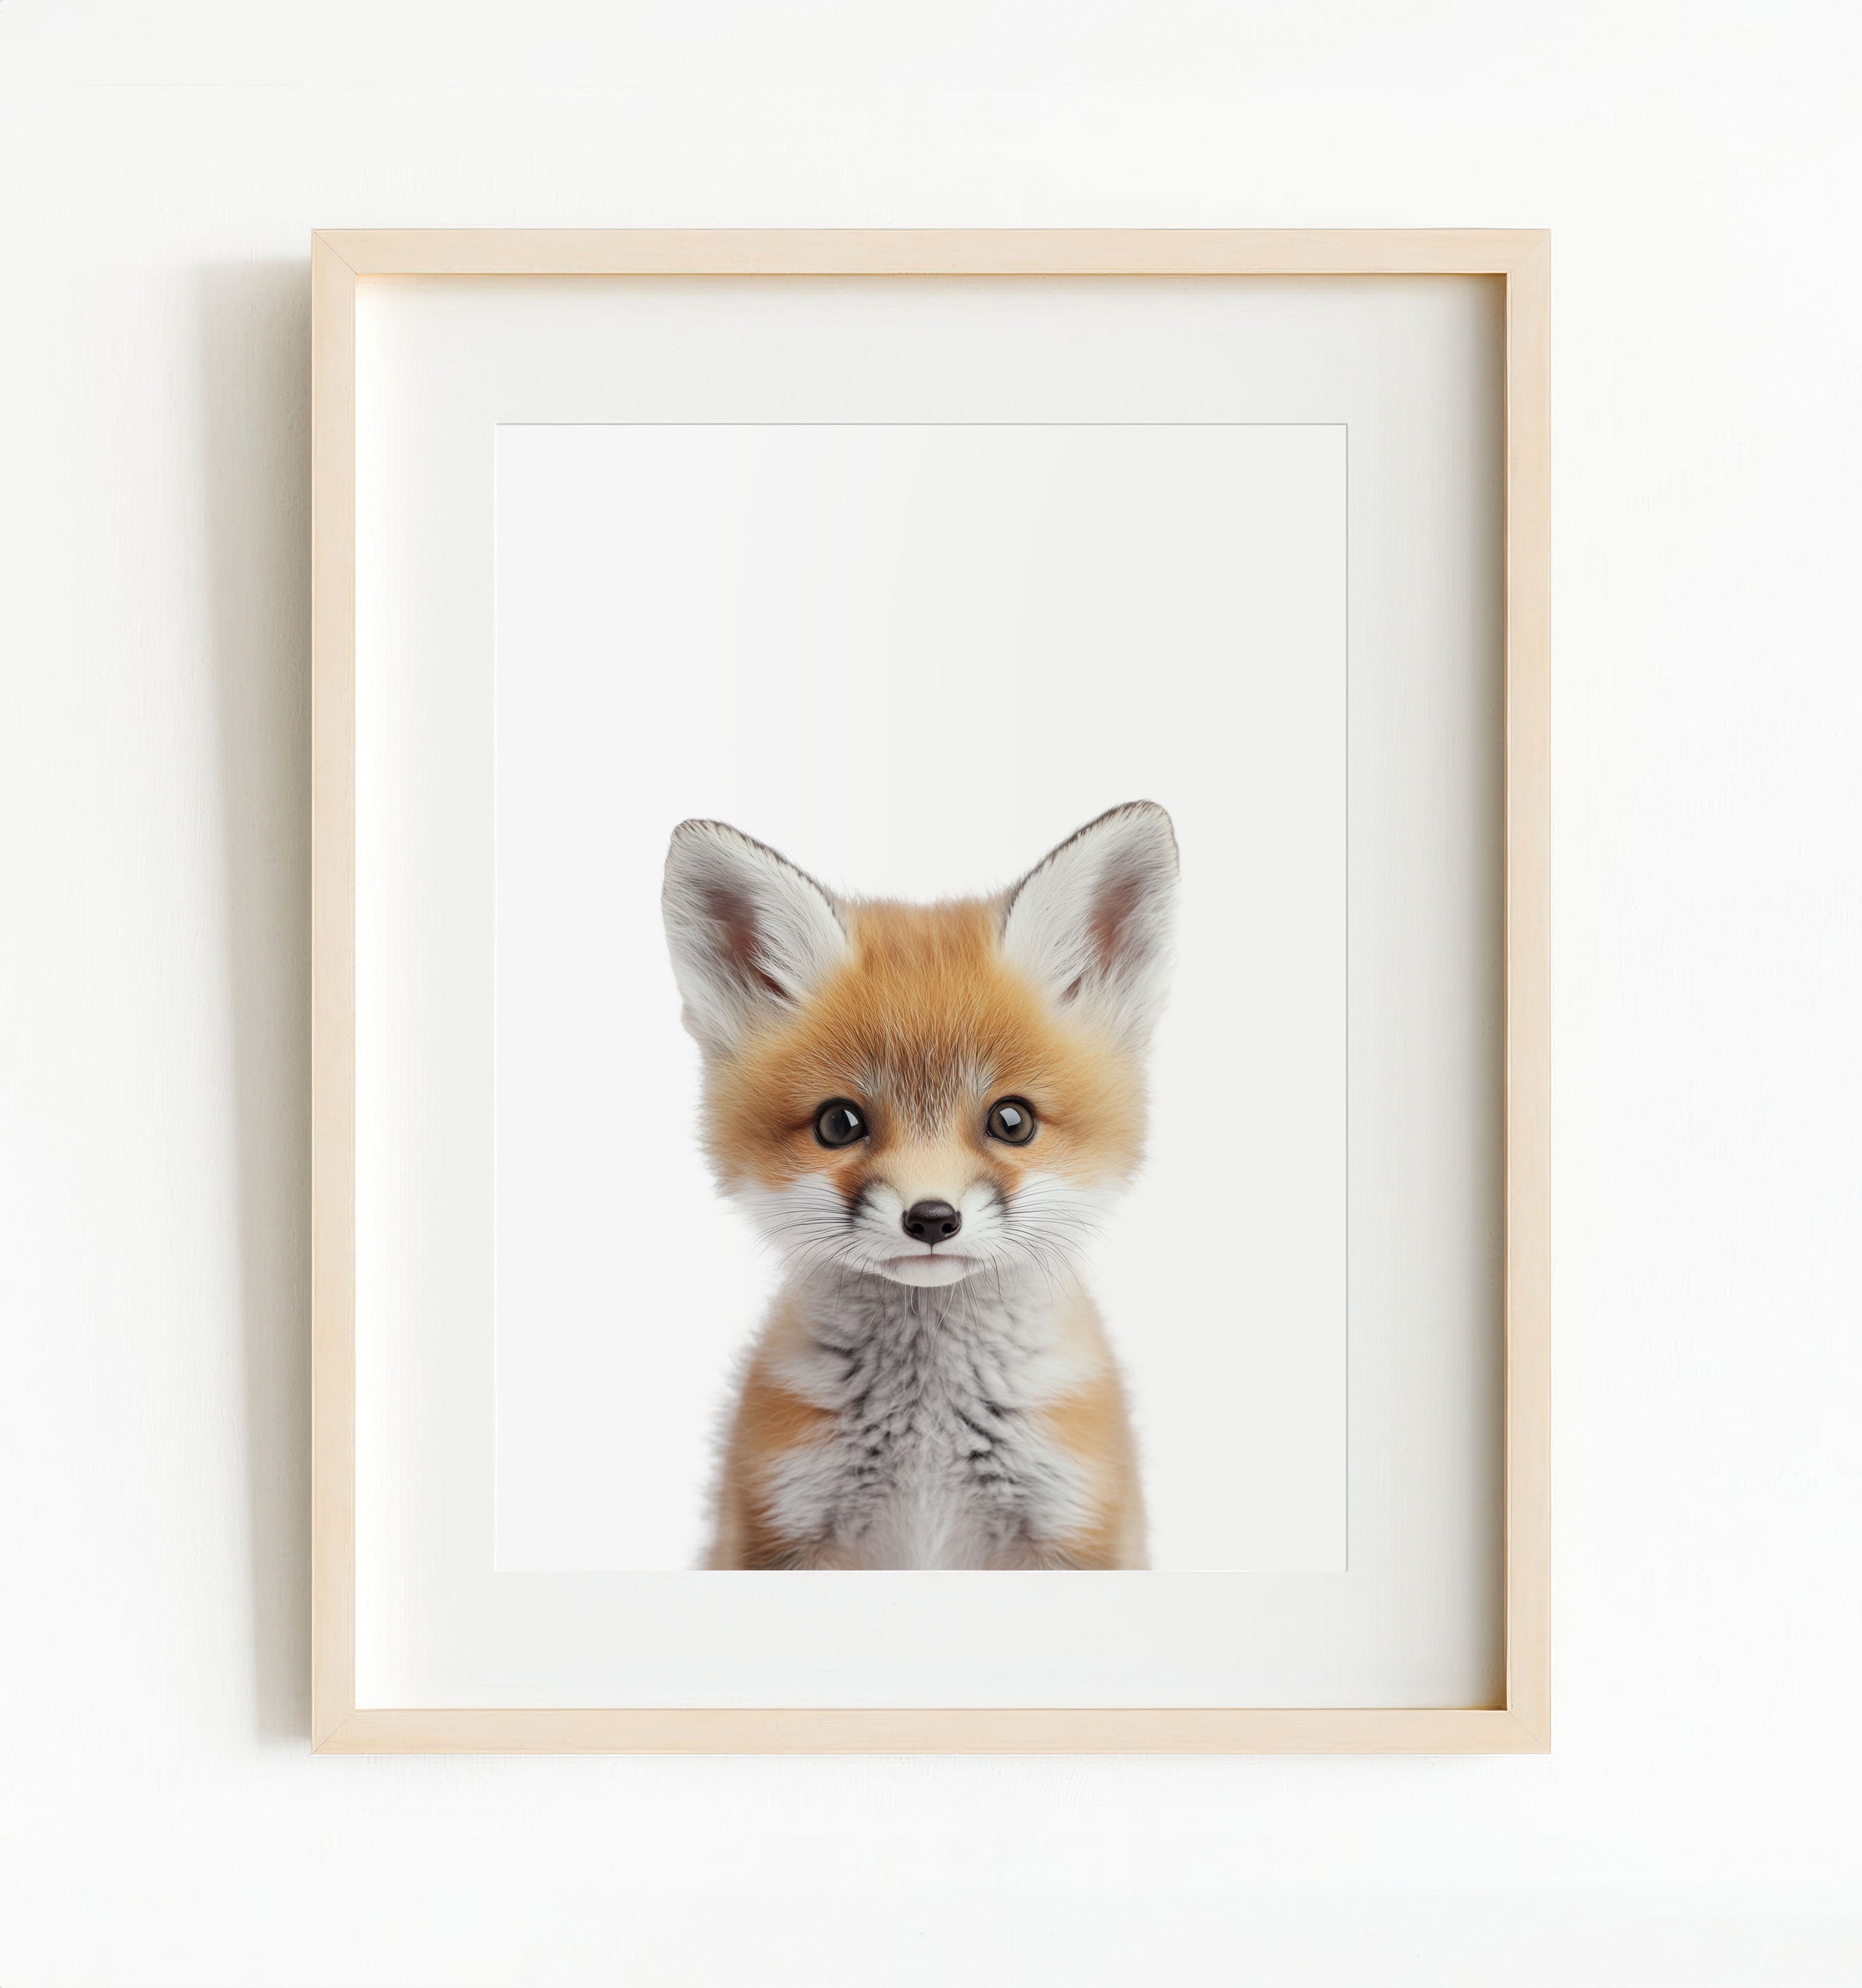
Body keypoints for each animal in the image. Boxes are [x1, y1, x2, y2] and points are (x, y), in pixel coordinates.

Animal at [660, 801, 1178, 1571]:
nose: (932, 1219)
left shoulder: (1076, 1531)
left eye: (1012, 1121)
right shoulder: (776, 1531)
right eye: (840, 1123)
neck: (928, 1433)